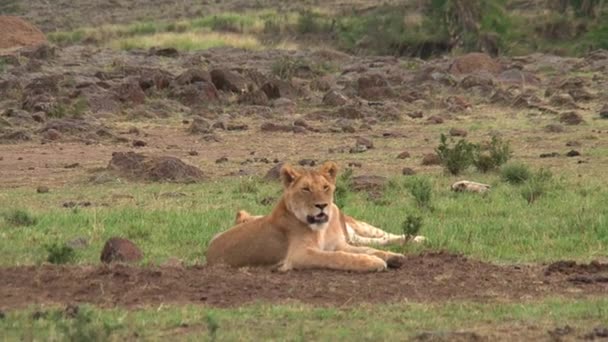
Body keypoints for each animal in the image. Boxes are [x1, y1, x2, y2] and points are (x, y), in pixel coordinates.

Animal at [205, 162, 414, 272]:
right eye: (306, 189)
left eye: (325, 187)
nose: (322, 205)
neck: (320, 229)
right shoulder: (300, 255)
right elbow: (338, 257)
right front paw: (373, 263)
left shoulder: (339, 244)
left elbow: (367, 249)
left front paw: (393, 257)